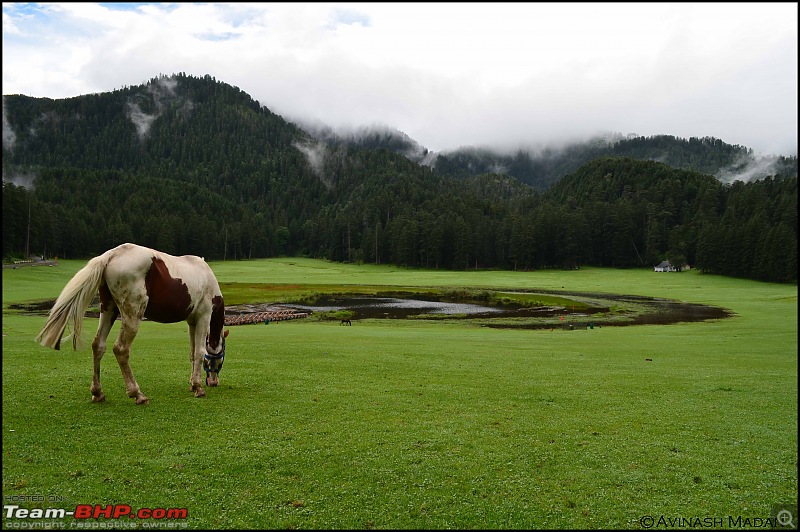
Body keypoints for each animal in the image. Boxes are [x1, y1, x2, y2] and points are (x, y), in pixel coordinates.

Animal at [34, 243, 228, 406]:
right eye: (220, 359)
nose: (213, 382)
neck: (206, 276)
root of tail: (111, 255)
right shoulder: (203, 316)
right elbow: (199, 352)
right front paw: (198, 387)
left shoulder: (192, 321)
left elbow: (191, 353)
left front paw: (192, 384)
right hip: (132, 314)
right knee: (121, 349)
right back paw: (137, 393)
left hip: (108, 309)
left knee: (98, 345)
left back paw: (98, 392)